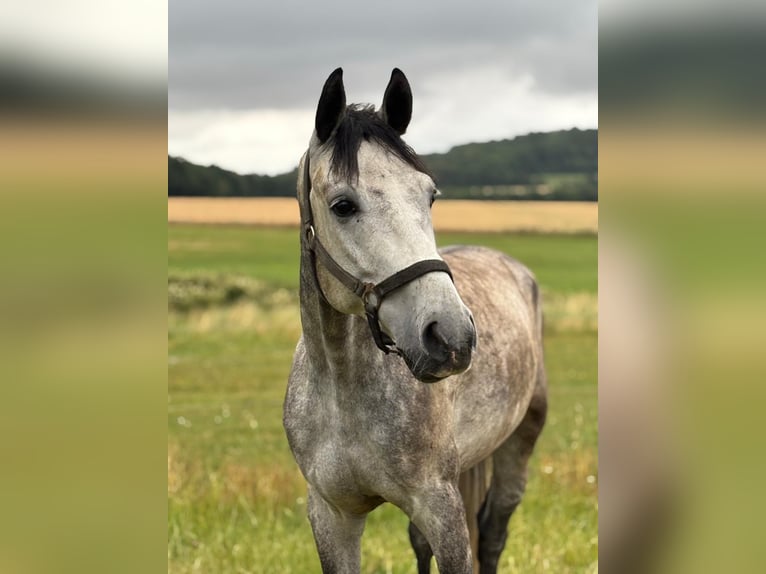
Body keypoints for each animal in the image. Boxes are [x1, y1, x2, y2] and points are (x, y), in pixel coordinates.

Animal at [284, 68, 547, 574]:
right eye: (343, 205)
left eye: (429, 196)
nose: (451, 335)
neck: (342, 386)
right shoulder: (332, 514)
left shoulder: (440, 507)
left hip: (518, 446)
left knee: (493, 534)